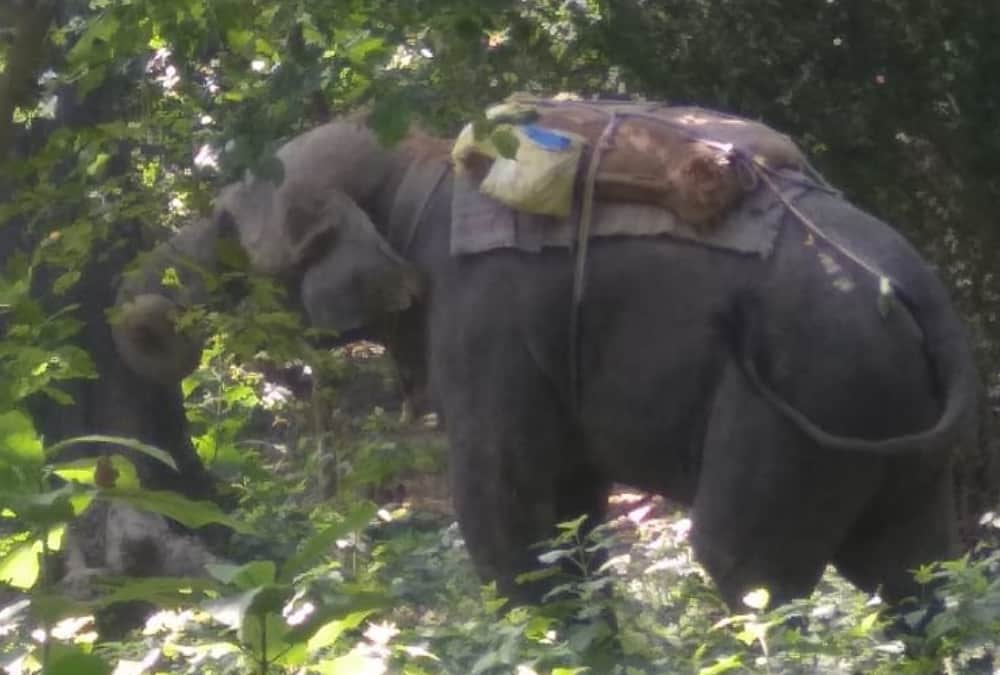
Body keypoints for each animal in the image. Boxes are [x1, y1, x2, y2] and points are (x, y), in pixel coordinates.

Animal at [112, 107, 979, 612]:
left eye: (226, 227)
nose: (140, 318)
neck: (415, 169)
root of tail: (932, 307)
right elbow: (570, 513)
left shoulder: (485, 325)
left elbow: (507, 520)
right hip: (890, 416)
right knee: (915, 568)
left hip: (809, 393)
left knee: (748, 567)